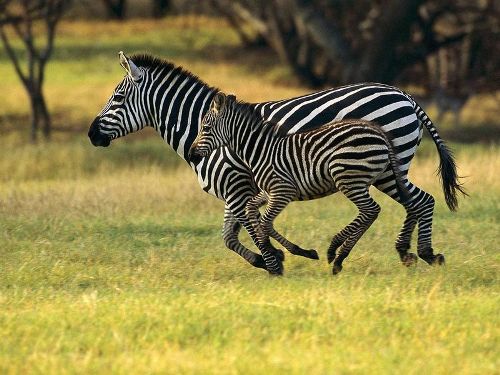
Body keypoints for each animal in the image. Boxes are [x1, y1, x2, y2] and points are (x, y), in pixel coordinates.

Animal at [189, 93, 412, 276]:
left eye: (205, 128)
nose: (191, 154)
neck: (261, 151)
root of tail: (378, 132)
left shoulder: (283, 191)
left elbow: (265, 223)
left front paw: (273, 256)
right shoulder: (269, 192)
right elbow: (253, 211)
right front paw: (284, 253)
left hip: (348, 177)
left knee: (371, 210)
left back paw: (336, 252)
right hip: (362, 179)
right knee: (374, 211)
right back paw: (339, 256)